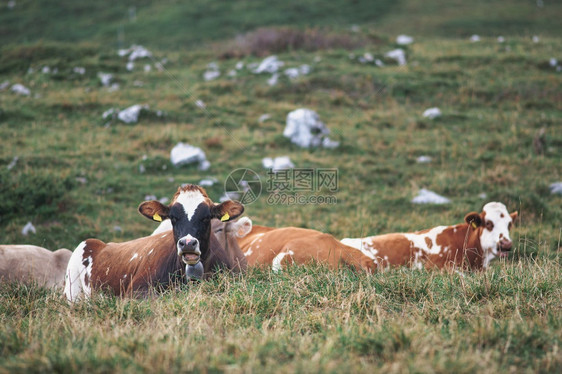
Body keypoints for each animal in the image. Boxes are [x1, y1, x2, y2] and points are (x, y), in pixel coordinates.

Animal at [64, 186, 243, 302]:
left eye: (206, 217)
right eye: (173, 218)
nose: (187, 243)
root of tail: (99, 243)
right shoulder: (136, 291)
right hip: (72, 293)